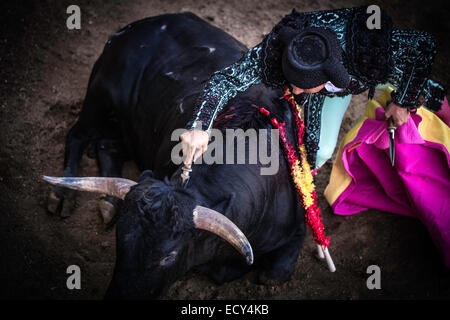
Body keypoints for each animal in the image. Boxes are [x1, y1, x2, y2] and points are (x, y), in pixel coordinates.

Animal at [44, 11, 306, 298]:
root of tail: (137, 27)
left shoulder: (296, 232)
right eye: (120, 242)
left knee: (105, 145)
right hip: (100, 94)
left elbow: (275, 274)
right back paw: (62, 194)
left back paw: (108, 202)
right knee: (77, 136)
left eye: (168, 256)